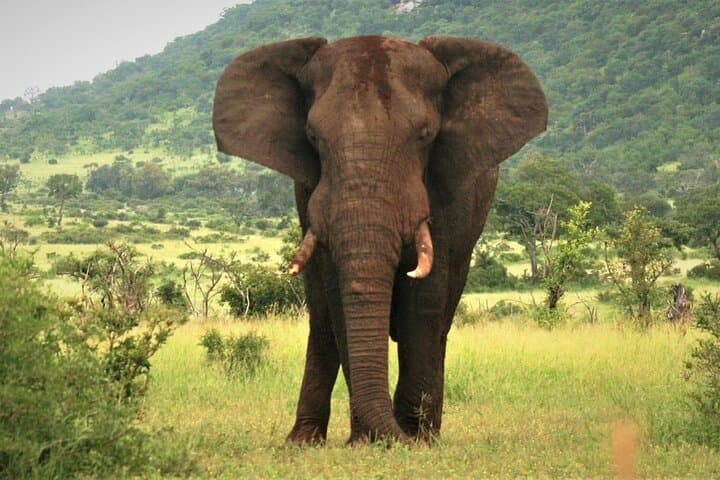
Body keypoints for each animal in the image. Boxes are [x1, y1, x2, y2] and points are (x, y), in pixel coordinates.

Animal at [213, 35, 547, 444]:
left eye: (425, 135)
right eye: (312, 137)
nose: (398, 435)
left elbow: (424, 300)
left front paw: (414, 440)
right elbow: (339, 300)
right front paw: (368, 441)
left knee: (441, 320)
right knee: (321, 321)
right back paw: (303, 441)